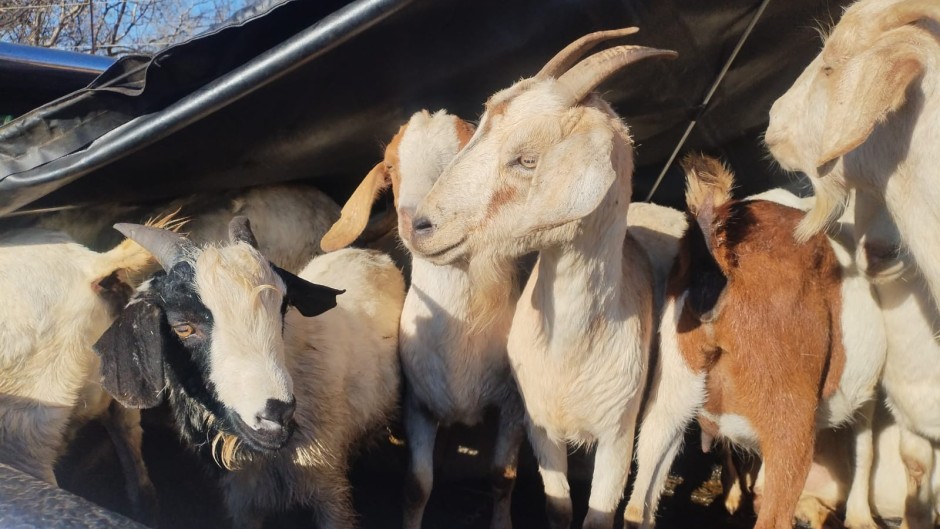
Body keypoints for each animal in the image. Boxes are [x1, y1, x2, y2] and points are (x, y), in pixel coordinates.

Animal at [93, 217, 404, 529]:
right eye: (183, 327)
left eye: (283, 306)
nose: (277, 414)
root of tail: (367, 252)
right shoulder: (243, 499)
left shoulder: (329, 487)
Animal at [320, 109, 525, 529]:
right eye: (391, 167)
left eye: (463, 156)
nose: (416, 221)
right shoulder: (417, 405)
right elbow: (417, 485)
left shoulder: (513, 405)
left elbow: (502, 477)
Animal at [403, 28, 677, 529]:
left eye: (527, 160)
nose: (422, 227)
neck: (570, 352)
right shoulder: (540, 428)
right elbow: (558, 506)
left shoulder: (617, 435)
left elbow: (599, 514)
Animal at [624, 156, 885, 529]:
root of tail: (717, 245)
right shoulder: (870, 393)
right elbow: (865, 446)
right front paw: (862, 518)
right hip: (789, 413)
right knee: (775, 513)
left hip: (675, 378)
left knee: (643, 486)